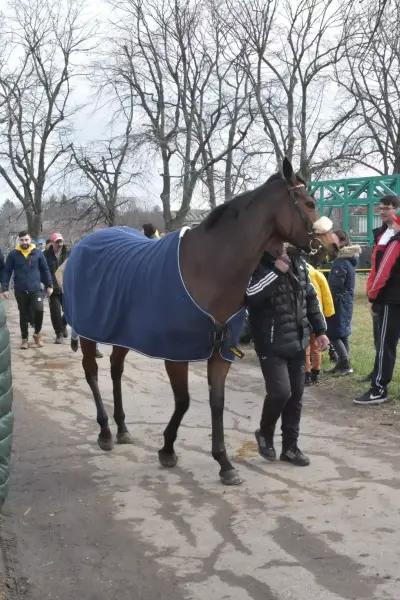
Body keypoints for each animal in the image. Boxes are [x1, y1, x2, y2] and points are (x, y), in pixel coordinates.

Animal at [64, 159, 340, 488]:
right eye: (309, 203)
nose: (335, 244)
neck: (207, 268)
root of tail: (83, 244)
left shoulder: (221, 353)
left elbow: (216, 402)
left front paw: (224, 463)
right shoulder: (176, 353)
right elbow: (183, 401)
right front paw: (168, 449)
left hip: (123, 334)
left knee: (116, 370)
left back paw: (122, 428)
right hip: (88, 333)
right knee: (92, 373)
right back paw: (105, 431)